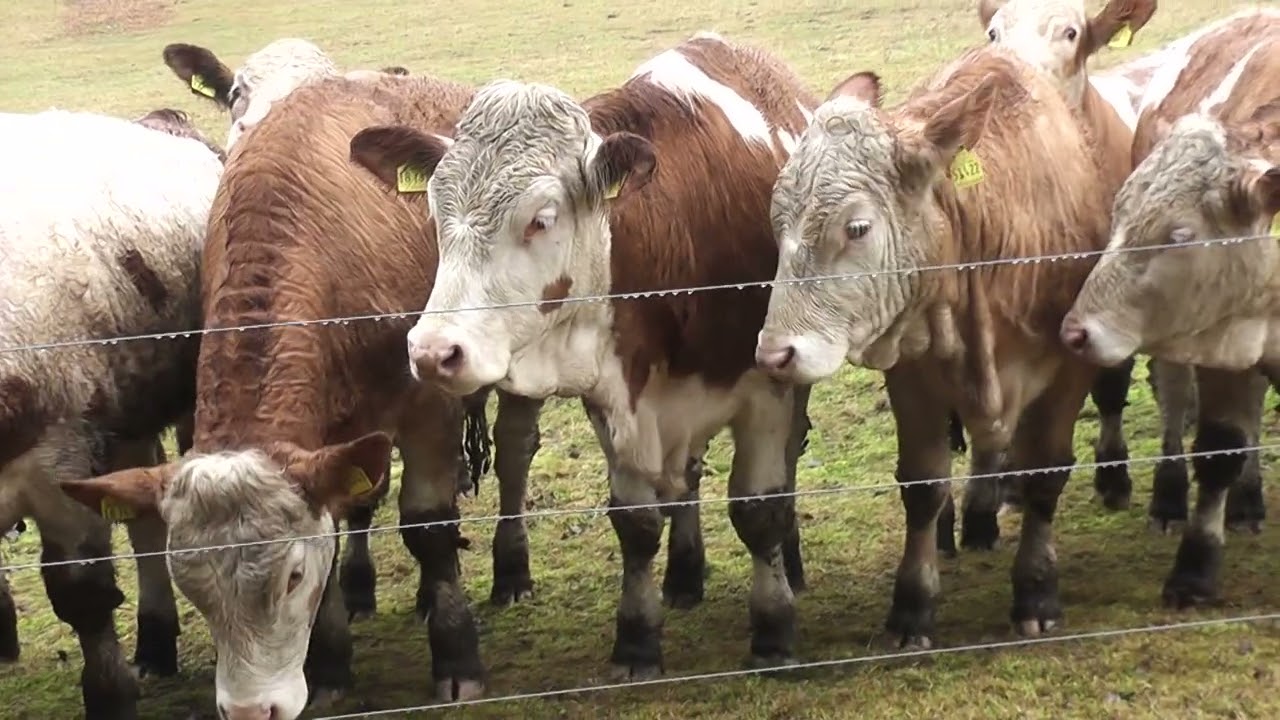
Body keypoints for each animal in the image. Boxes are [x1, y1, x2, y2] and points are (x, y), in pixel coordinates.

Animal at [349, 31, 817, 675]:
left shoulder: (765, 393)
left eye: (541, 220)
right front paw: (637, 639)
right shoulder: (616, 394)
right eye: (435, 213)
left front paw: (773, 630)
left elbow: (759, 510)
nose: (433, 351)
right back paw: (685, 574)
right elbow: (636, 522)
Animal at [755, 28, 1147, 644]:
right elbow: (922, 482)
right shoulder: (912, 377)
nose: (775, 354)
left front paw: (1037, 589)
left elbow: (1046, 471)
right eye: (777, 225)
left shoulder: (1069, 369)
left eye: (857, 227)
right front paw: (913, 604)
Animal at [1061, 10, 1280, 608]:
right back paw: (1170, 496)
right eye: (1119, 216)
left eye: (1180, 235)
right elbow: (1218, 449)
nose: (1075, 332)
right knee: (1176, 397)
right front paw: (1194, 570)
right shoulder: (1222, 344)